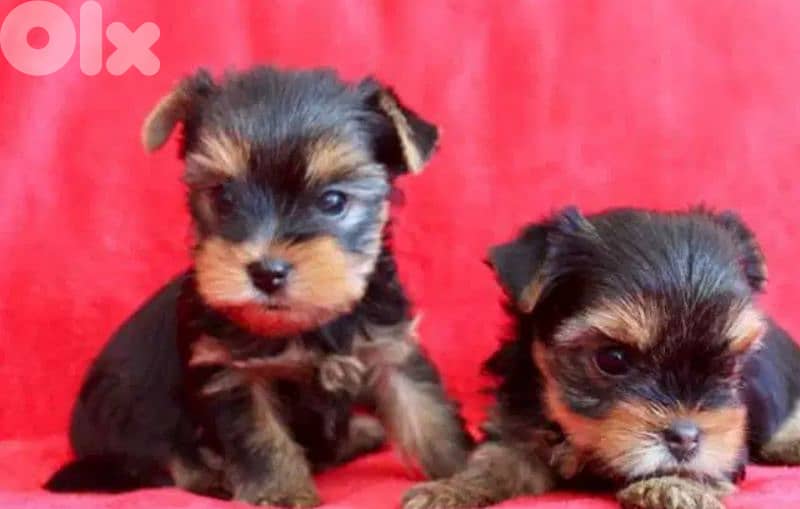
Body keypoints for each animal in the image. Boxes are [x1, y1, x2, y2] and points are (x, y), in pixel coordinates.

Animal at [45, 66, 473, 507]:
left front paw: (460, 477)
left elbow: (426, 413)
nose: (267, 272)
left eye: (333, 201)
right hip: (128, 416)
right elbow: (260, 436)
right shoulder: (233, 371)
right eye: (224, 196)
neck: (308, 323)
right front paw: (281, 493)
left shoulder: (389, 345)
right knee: (163, 459)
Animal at [403, 206, 800, 509]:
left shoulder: (730, 439)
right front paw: (450, 489)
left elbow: (713, 461)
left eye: (730, 365)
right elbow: (495, 460)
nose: (685, 437)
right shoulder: (516, 427)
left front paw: (673, 484)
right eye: (613, 359)